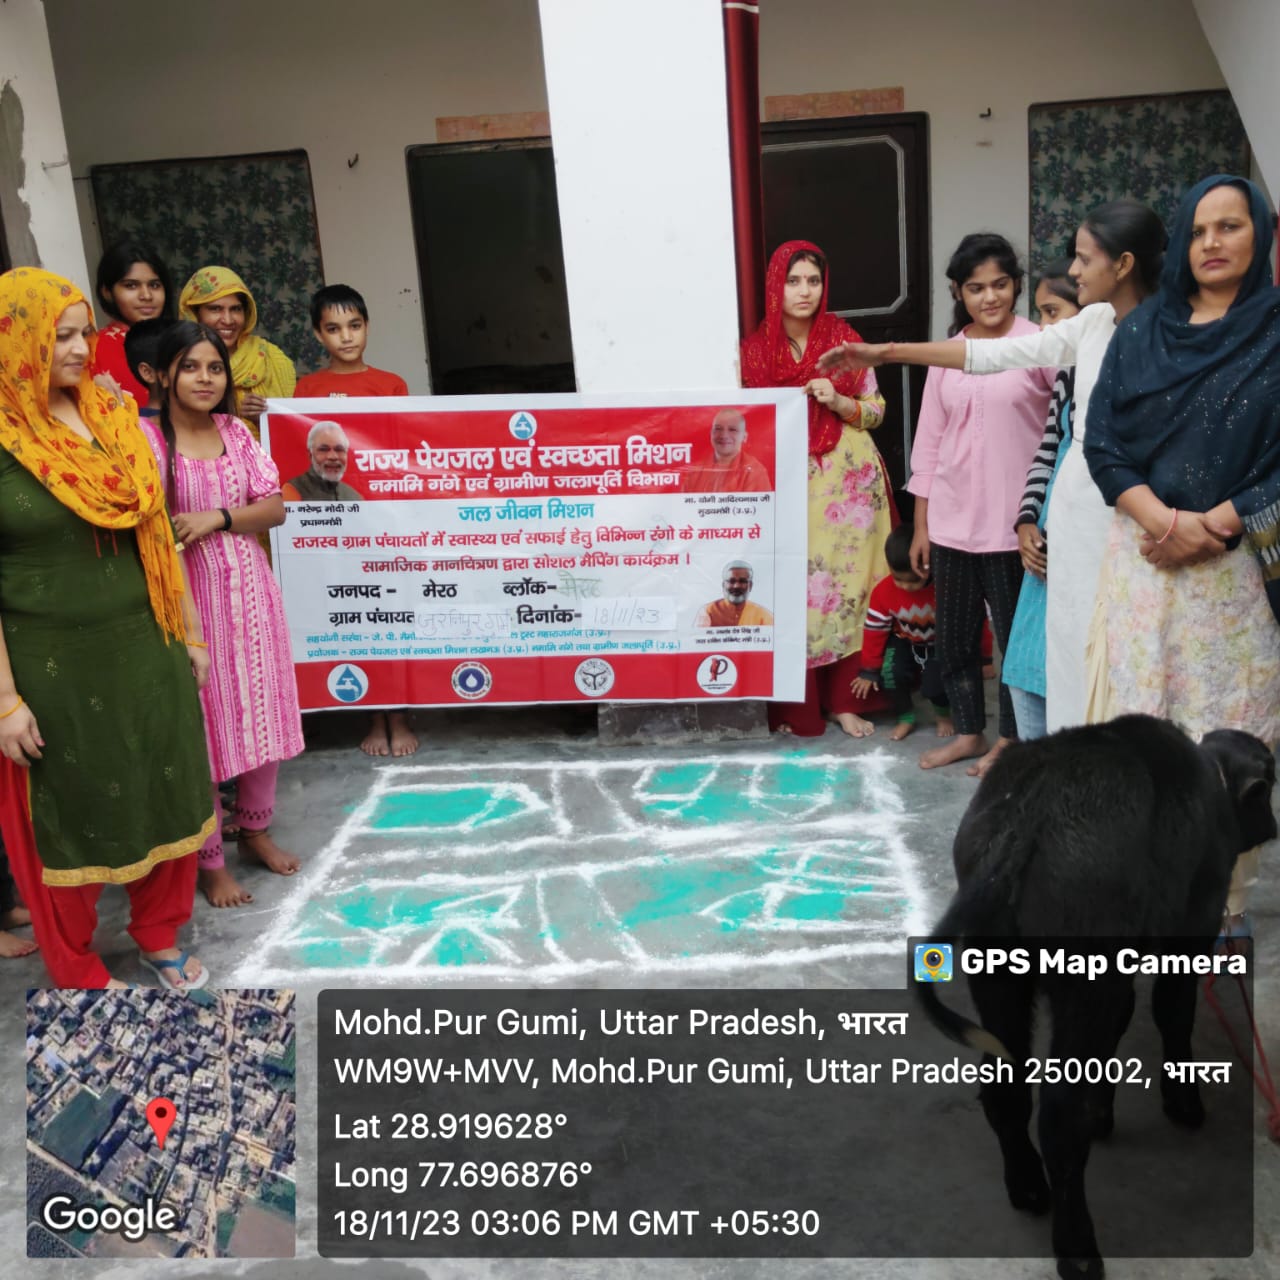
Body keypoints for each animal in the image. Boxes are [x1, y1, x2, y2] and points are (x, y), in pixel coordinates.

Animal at [916, 714, 1274, 1280]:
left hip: (998, 977)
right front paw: (1183, 1103)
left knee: (1005, 1092)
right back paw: (1078, 1247)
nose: (1272, 825)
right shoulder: (1188, 931)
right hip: (1080, 981)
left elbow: (1119, 1028)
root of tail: (1024, 814)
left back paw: (1027, 1186)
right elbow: (1173, 1013)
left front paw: (1105, 1112)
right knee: (1059, 1118)